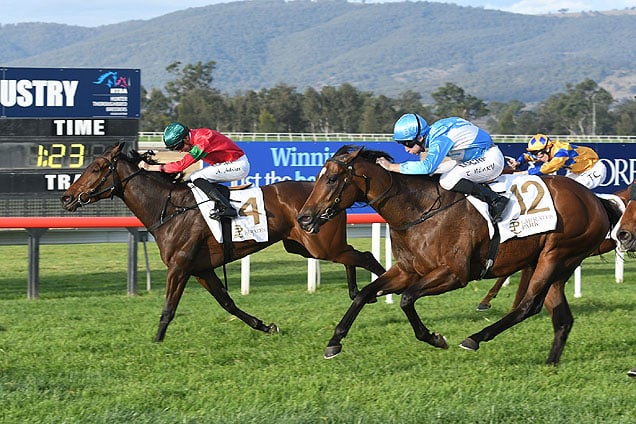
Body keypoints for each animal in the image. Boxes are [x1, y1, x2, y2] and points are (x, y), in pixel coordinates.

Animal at [62, 142, 386, 342]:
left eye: (95, 168)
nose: (66, 197)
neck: (170, 208)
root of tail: (328, 197)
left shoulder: (179, 267)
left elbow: (168, 309)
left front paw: (156, 341)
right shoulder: (200, 269)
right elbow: (228, 303)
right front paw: (265, 326)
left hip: (321, 244)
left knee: (365, 256)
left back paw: (377, 288)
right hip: (304, 246)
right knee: (353, 256)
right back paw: (360, 291)